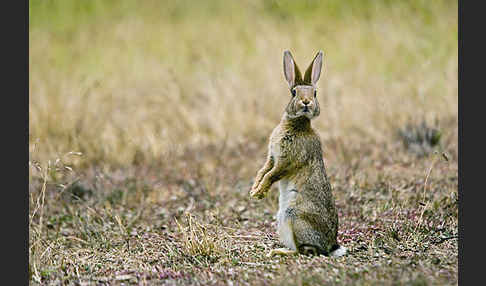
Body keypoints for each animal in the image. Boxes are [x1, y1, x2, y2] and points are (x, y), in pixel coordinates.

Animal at [251, 50, 346, 258]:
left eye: (315, 93)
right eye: (293, 92)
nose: (306, 102)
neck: (297, 124)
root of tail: (330, 246)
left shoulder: (286, 162)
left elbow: (271, 175)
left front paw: (259, 193)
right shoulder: (272, 157)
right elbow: (263, 171)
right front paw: (253, 190)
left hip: (294, 217)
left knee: (306, 251)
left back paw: (279, 252)